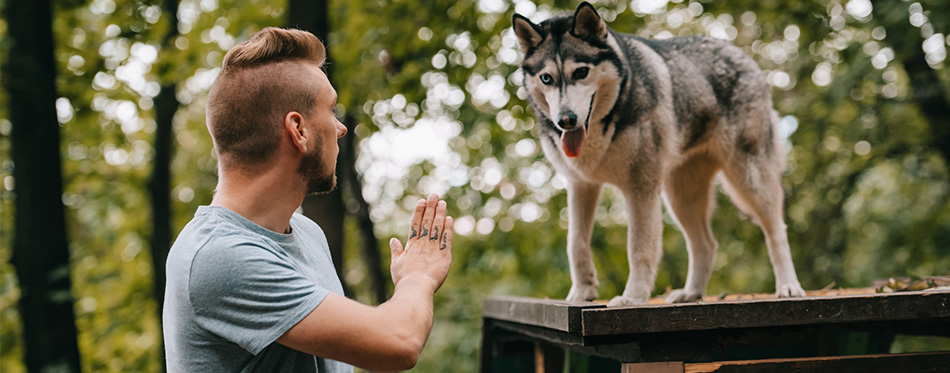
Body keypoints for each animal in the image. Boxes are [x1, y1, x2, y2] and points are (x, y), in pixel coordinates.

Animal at [516, 2, 808, 306]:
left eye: (581, 72)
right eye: (546, 78)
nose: (566, 120)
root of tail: (739, 52)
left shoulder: (640, 188)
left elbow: (639, 247)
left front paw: (632, 298)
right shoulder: (580, 186)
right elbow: (576, 243)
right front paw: (582, 293)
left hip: (748, 180)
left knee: (776, 231)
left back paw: (789, 286)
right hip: (681, 197)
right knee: (706, 244)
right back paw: (691, 293)